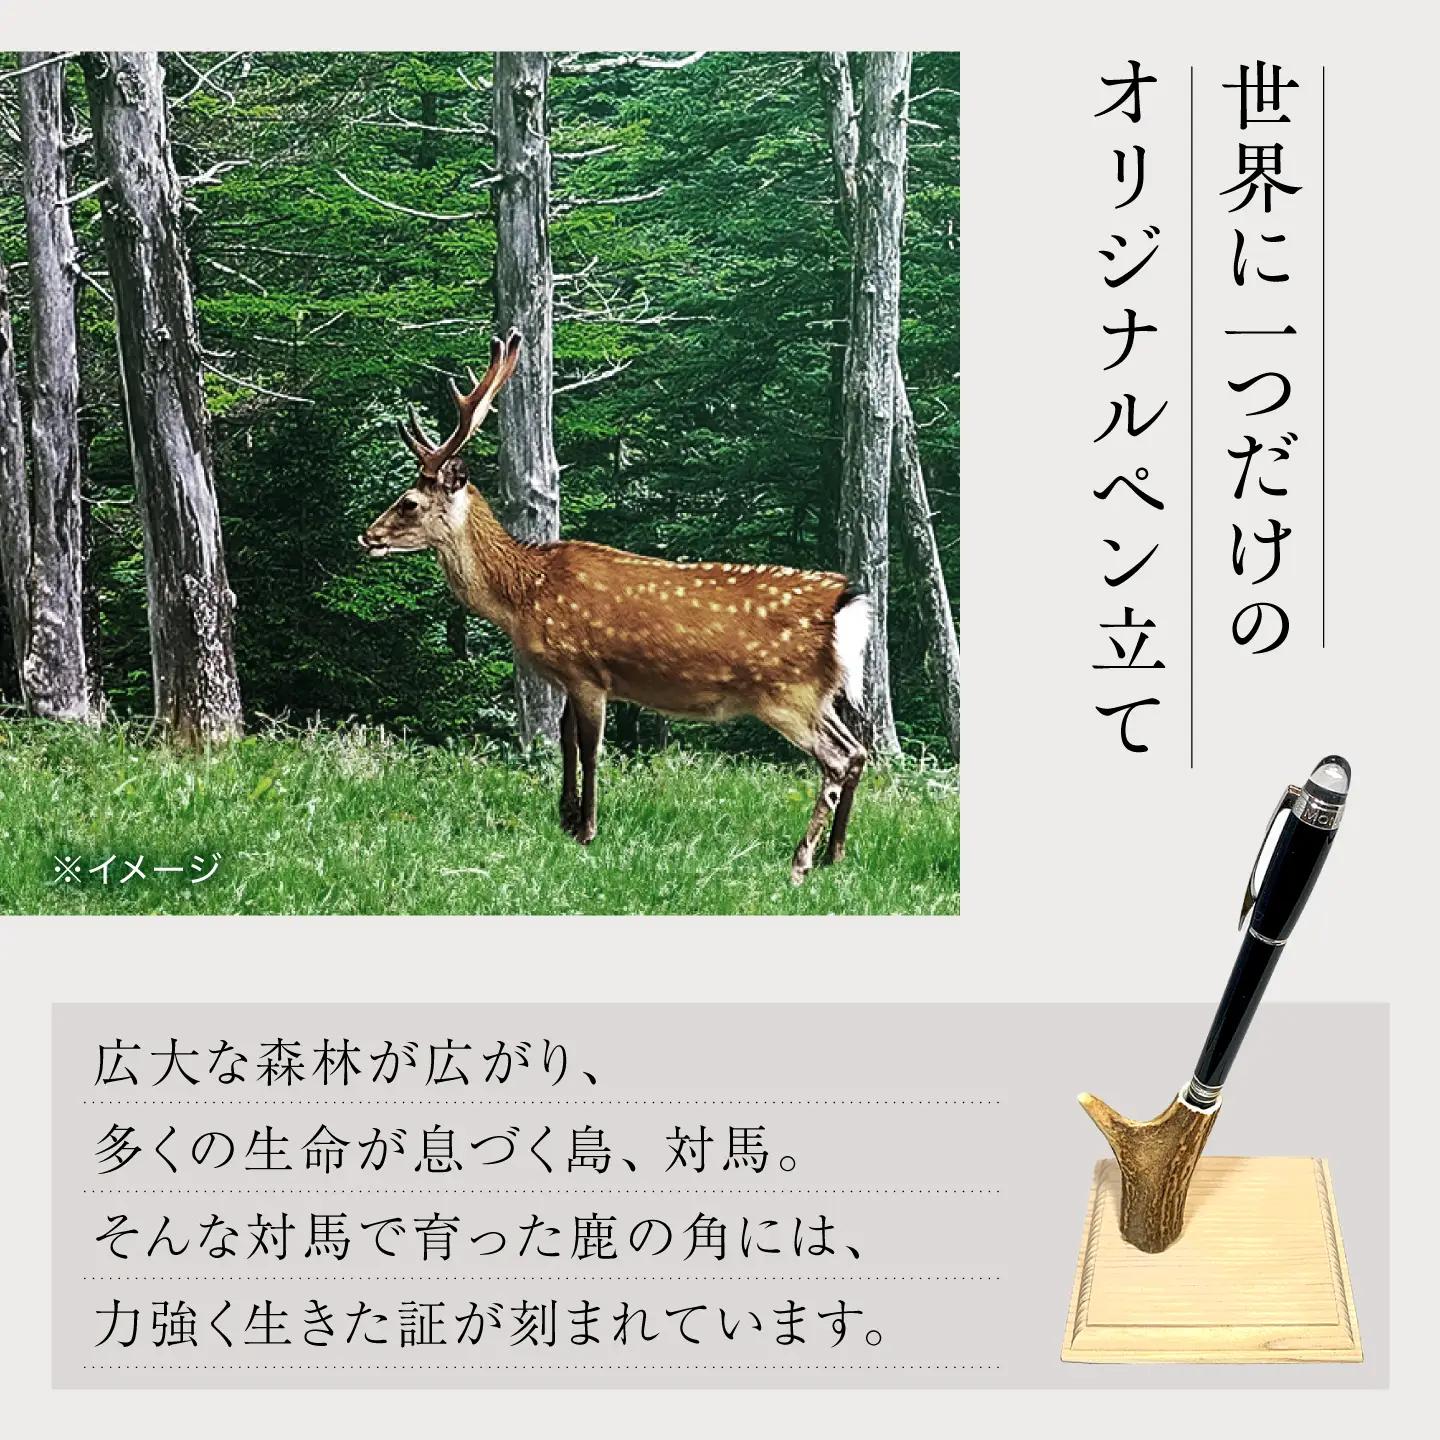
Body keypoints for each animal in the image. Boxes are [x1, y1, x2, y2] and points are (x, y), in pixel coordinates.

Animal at [359, 331, 870, 884]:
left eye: (408, 502)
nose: (367, 536)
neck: (524, 593)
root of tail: (845, 605)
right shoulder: (566, 676)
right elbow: (564, 742)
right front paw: (563, 819)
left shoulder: (589, 671)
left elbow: (589, 750)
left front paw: (586, 829)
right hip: (819, 694)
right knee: (859, 750)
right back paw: (837, 855)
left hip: (786, 694)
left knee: (837, 760)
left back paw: (801, 860)